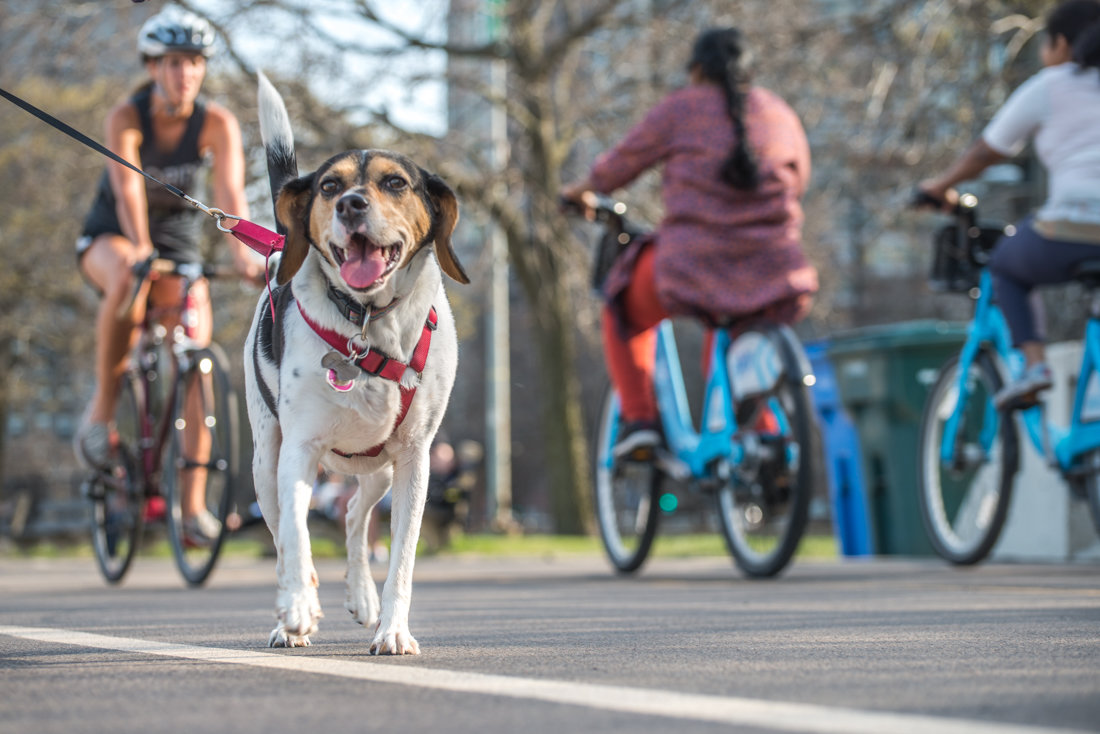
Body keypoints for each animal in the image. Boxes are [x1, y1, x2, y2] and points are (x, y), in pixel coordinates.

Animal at [245, 71, 468, 651]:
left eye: (395, 183)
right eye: (328, 186)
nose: (350, 204)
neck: (369, 324)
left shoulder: (415, 461)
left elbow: (402, 559)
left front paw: (393, 629)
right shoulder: (298, 450)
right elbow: (296, 537)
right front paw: (299, 608)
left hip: (378, 468)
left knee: (350, 512)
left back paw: (363, 598)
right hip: (265, 460)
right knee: (284, 535)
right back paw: (290, 613)